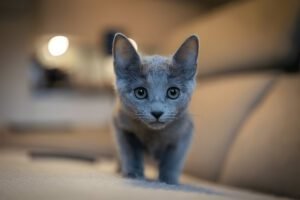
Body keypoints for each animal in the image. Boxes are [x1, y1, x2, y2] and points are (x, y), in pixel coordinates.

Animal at [111, 32, 198, 184]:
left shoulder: (185, 131)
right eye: (140, 92)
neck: (154, 134)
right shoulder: (121, 126)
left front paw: (169, 181)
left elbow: (173, 159)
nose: (157, 112)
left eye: (173, 92)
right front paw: (133, 174)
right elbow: (129, 152)